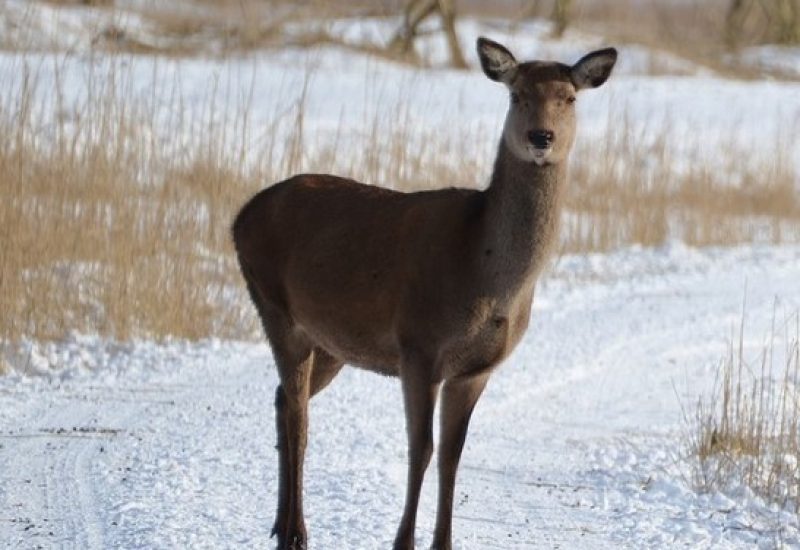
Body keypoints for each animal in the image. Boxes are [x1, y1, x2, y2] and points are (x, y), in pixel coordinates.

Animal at [231, 36, 620, 548]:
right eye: (516, 95)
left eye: (569, 97)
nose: (542, 138)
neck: (485, 272)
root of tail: (238, 218)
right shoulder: (418, 345)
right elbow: (422, 448)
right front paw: (403, 541)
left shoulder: (475, 369)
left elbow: (453, 453)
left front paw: (444, 542)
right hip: (274, 303)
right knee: (298, 412)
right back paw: (295, 531)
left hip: (330, 342)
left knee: (282, 398)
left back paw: (280, 522)